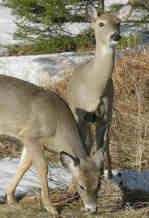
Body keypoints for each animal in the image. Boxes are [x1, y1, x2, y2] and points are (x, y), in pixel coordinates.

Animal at [0, 75, 103, 216]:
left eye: (98, 184)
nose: (92, 209)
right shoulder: (31, 136)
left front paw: (11, 199)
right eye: (81, 186)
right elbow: (43, 167)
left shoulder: (31, 141)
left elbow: (24, 165)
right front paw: (51, 208)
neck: (57, 128)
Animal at [67, 5, 132, 178]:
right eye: (101, 23)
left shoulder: (104, 116)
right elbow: (86, 145)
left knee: (105, 143)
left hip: (108, 113)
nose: (116, 36)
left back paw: (108, 173)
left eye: (118, 22)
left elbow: (101, 146)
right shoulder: (81, 116)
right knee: (89, 143)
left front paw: (104, 174)